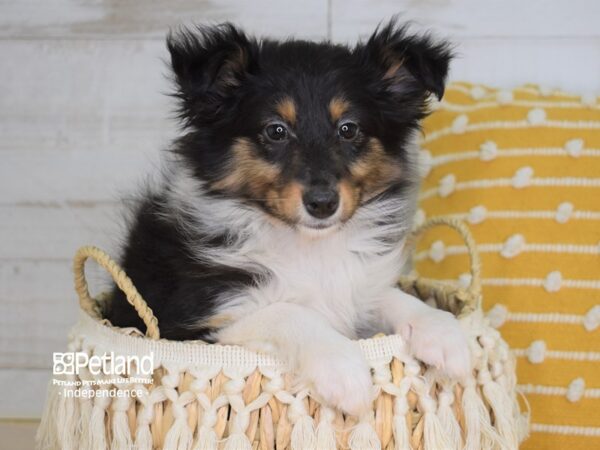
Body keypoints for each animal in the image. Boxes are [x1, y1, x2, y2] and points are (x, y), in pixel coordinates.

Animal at [109, 20, 474, 414]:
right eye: (276, 130)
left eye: (348, 128)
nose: (323, 203)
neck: (310, 247)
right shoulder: (193, 323)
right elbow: (289, 312)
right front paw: (345, 371)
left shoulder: (357, 288)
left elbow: (388, 295)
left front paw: (445, 334)